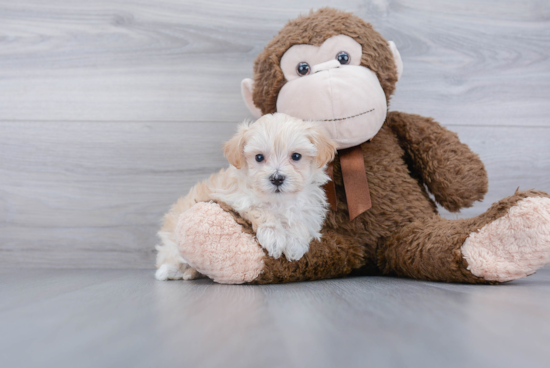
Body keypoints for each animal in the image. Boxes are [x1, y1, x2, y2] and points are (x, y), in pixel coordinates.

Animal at [154, 113, 336, 280]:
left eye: (296, 156)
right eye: (259, 157)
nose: (277, 178)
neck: (278, 201)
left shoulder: (309, 207)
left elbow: (299, 220)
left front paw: (295, 244)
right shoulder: (237, 198)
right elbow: (260, 210)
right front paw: (274, 238)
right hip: (173, 244)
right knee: (171, 259)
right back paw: (169, 271)